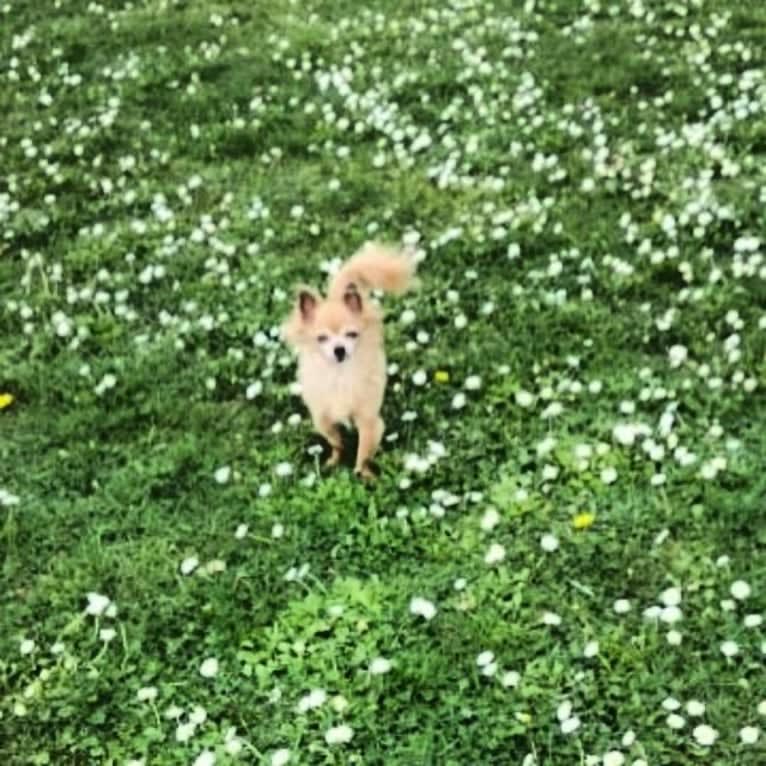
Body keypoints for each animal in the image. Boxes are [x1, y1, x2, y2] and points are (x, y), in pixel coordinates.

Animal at [282, 243, 416, 480]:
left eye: (351, 335)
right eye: (322, 338)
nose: (339, 349)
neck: (340, 374)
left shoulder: (369, 421)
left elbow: (363, 452)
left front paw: (364, 475)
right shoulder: (323, 418)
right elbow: (336, 442)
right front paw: (333, 462)